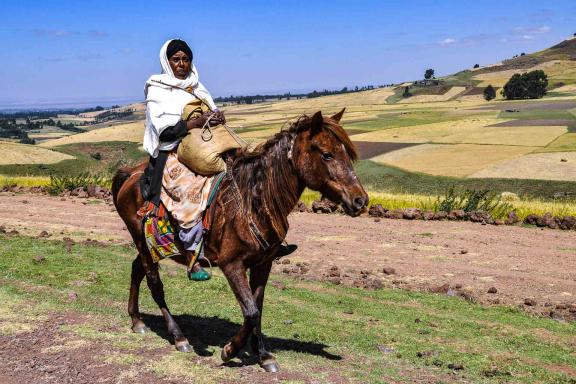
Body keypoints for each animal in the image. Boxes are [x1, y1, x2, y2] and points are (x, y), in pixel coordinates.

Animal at [112, 110, 368, 372]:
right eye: (327, 154)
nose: (360, 200)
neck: (254, 201)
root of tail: (130, 174)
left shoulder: (263, 264)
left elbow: (257, 306)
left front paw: (263, 354)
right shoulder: (231, 265)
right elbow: (251, 311)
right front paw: (229, 350)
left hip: (148, 246)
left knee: (136, 269)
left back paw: (137, 321)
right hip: (142, 242)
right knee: (155, 284)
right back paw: (178, 336)